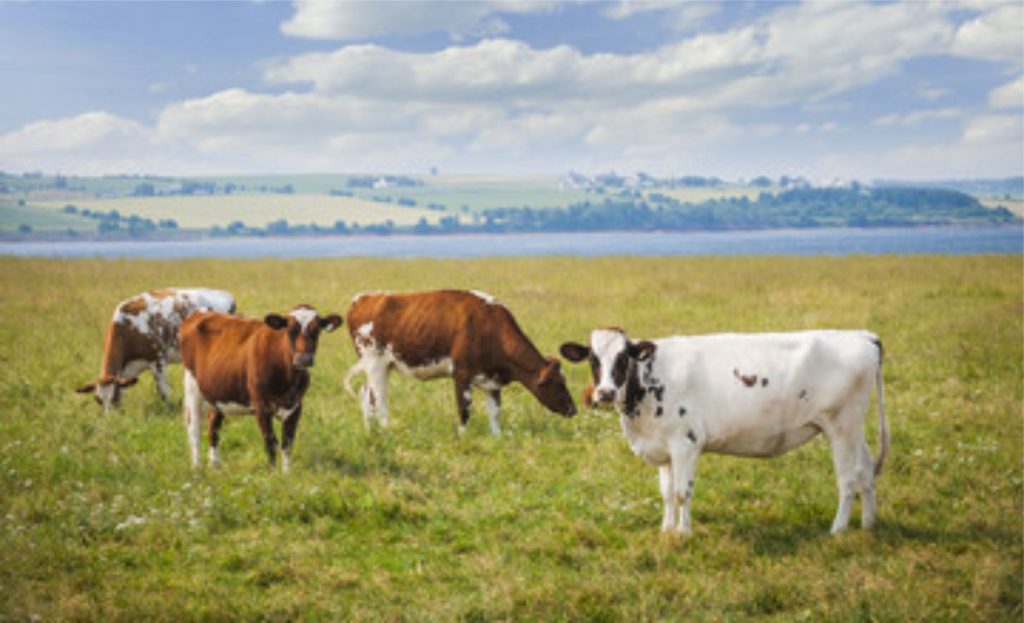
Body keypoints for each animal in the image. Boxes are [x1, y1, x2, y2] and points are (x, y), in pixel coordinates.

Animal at [76, 288, 235, 413]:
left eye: (113, 397)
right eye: (98, 399)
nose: (110, 418)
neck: (127, 327)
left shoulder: (159, 359)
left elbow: (163, 391)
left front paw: (170, 410)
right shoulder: (123, 373)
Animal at [180, 303, 344, 469]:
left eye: (316, 330)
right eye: (290, 329)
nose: (303, 359)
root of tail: (200, 313)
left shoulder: (296, 407)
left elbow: (287, 443)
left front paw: (286, 472)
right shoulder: (261, 406)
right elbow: (270, 443)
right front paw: (272, 473)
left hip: (218, 391)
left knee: (213, 424)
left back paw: (215, 464)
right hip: (192, 385)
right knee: (194, 428)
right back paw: (196, 466)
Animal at [339, 291, 573, 432]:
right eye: (557, 383)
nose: (573, 410)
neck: (490, 327)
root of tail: (364, 298)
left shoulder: (492, 379)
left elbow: (495, 411)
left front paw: (497, 437)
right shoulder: (462, 374)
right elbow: (464, 409)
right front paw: (463, 436)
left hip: (382, 366)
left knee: (367, 395)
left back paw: (371, 431)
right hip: (375, 363)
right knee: (379, 398)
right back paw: (386, 430)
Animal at [561, 325, 888, 536]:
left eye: (623, 357)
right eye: (593, 359)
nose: (604, 393)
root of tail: (861, 335)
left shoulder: (686, 443)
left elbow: (682, 493)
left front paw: (683, 533)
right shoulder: (663, 447)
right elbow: (666, 493)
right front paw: (666, 530)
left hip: (841, 425)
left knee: (848, 479)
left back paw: (838, 529)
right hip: (853, 429)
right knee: (865, 470)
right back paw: (869, 523)